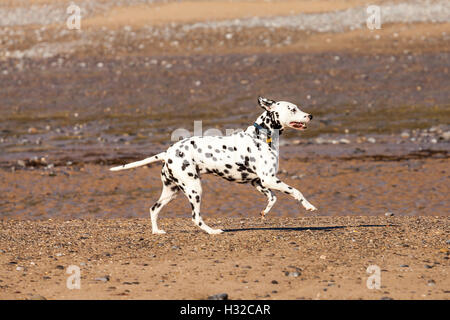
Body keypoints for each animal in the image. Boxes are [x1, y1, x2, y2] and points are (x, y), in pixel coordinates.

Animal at [110, 96, 318, 234]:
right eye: (292, 109)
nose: (310, 115)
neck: (261, 136)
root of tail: (168, 152)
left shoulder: (259, 182)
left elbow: (273, 198)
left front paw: (264, 212)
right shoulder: (269, 179)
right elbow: (296, 191)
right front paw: (308, 206)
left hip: (172, 192)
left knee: (153, 209)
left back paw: (157, 231)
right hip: (194, 189)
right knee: (195, 218)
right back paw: (212, 231)